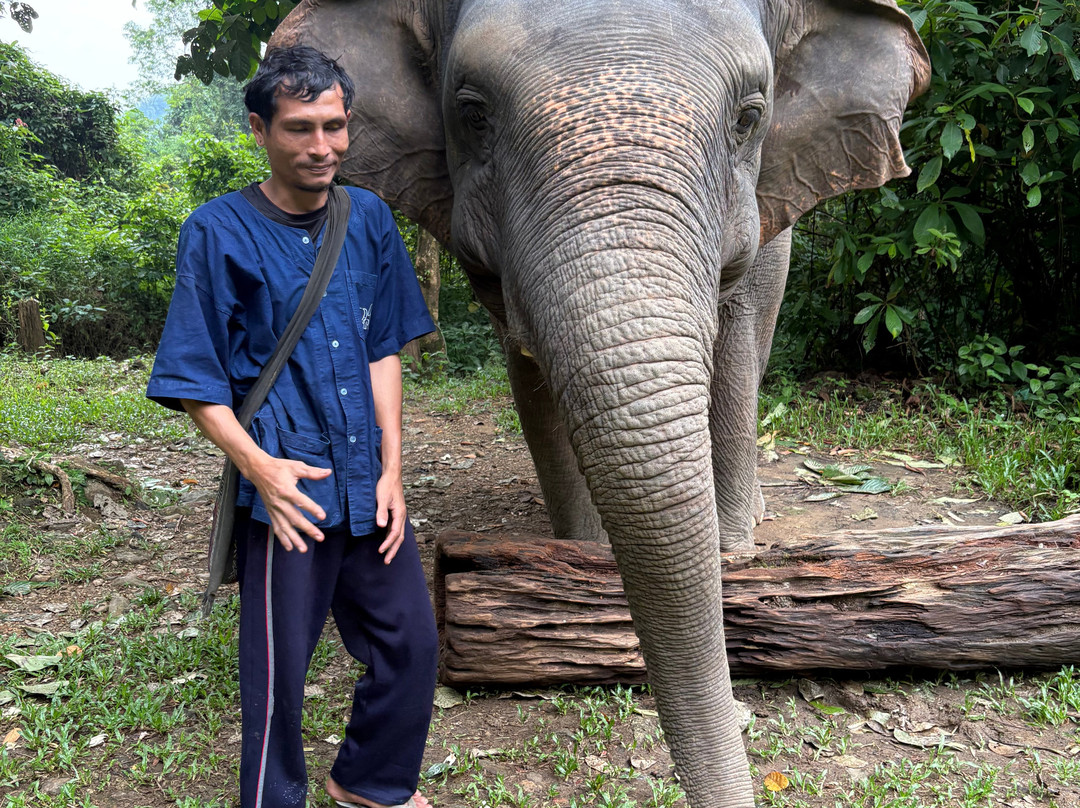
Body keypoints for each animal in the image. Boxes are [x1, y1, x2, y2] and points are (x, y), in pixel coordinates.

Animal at [271, 1, 929, 806]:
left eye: (750, 117)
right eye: (473, 114)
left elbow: (736, 334)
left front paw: (731, 552)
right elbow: (528, 370)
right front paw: (579, 559)